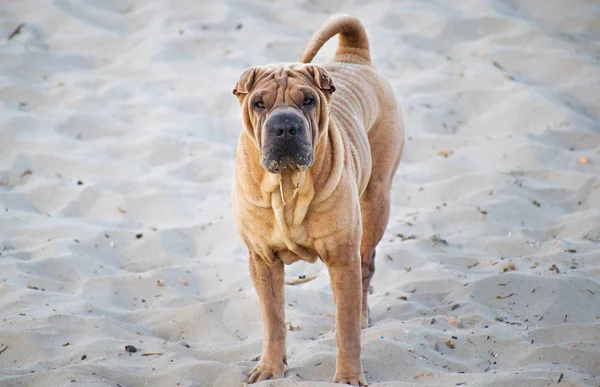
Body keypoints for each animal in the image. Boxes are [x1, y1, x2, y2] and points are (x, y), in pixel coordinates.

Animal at [232, 13, 406, 386]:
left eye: (308, 101)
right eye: (259, 103)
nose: (285, 126)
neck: (287, 185)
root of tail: (353, 55)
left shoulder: (341, 259)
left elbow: (345, 329)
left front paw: (349, 376)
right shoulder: (262, 260)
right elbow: (274, 319)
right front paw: (270, 368)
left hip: (375, 202)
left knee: (366, 269)